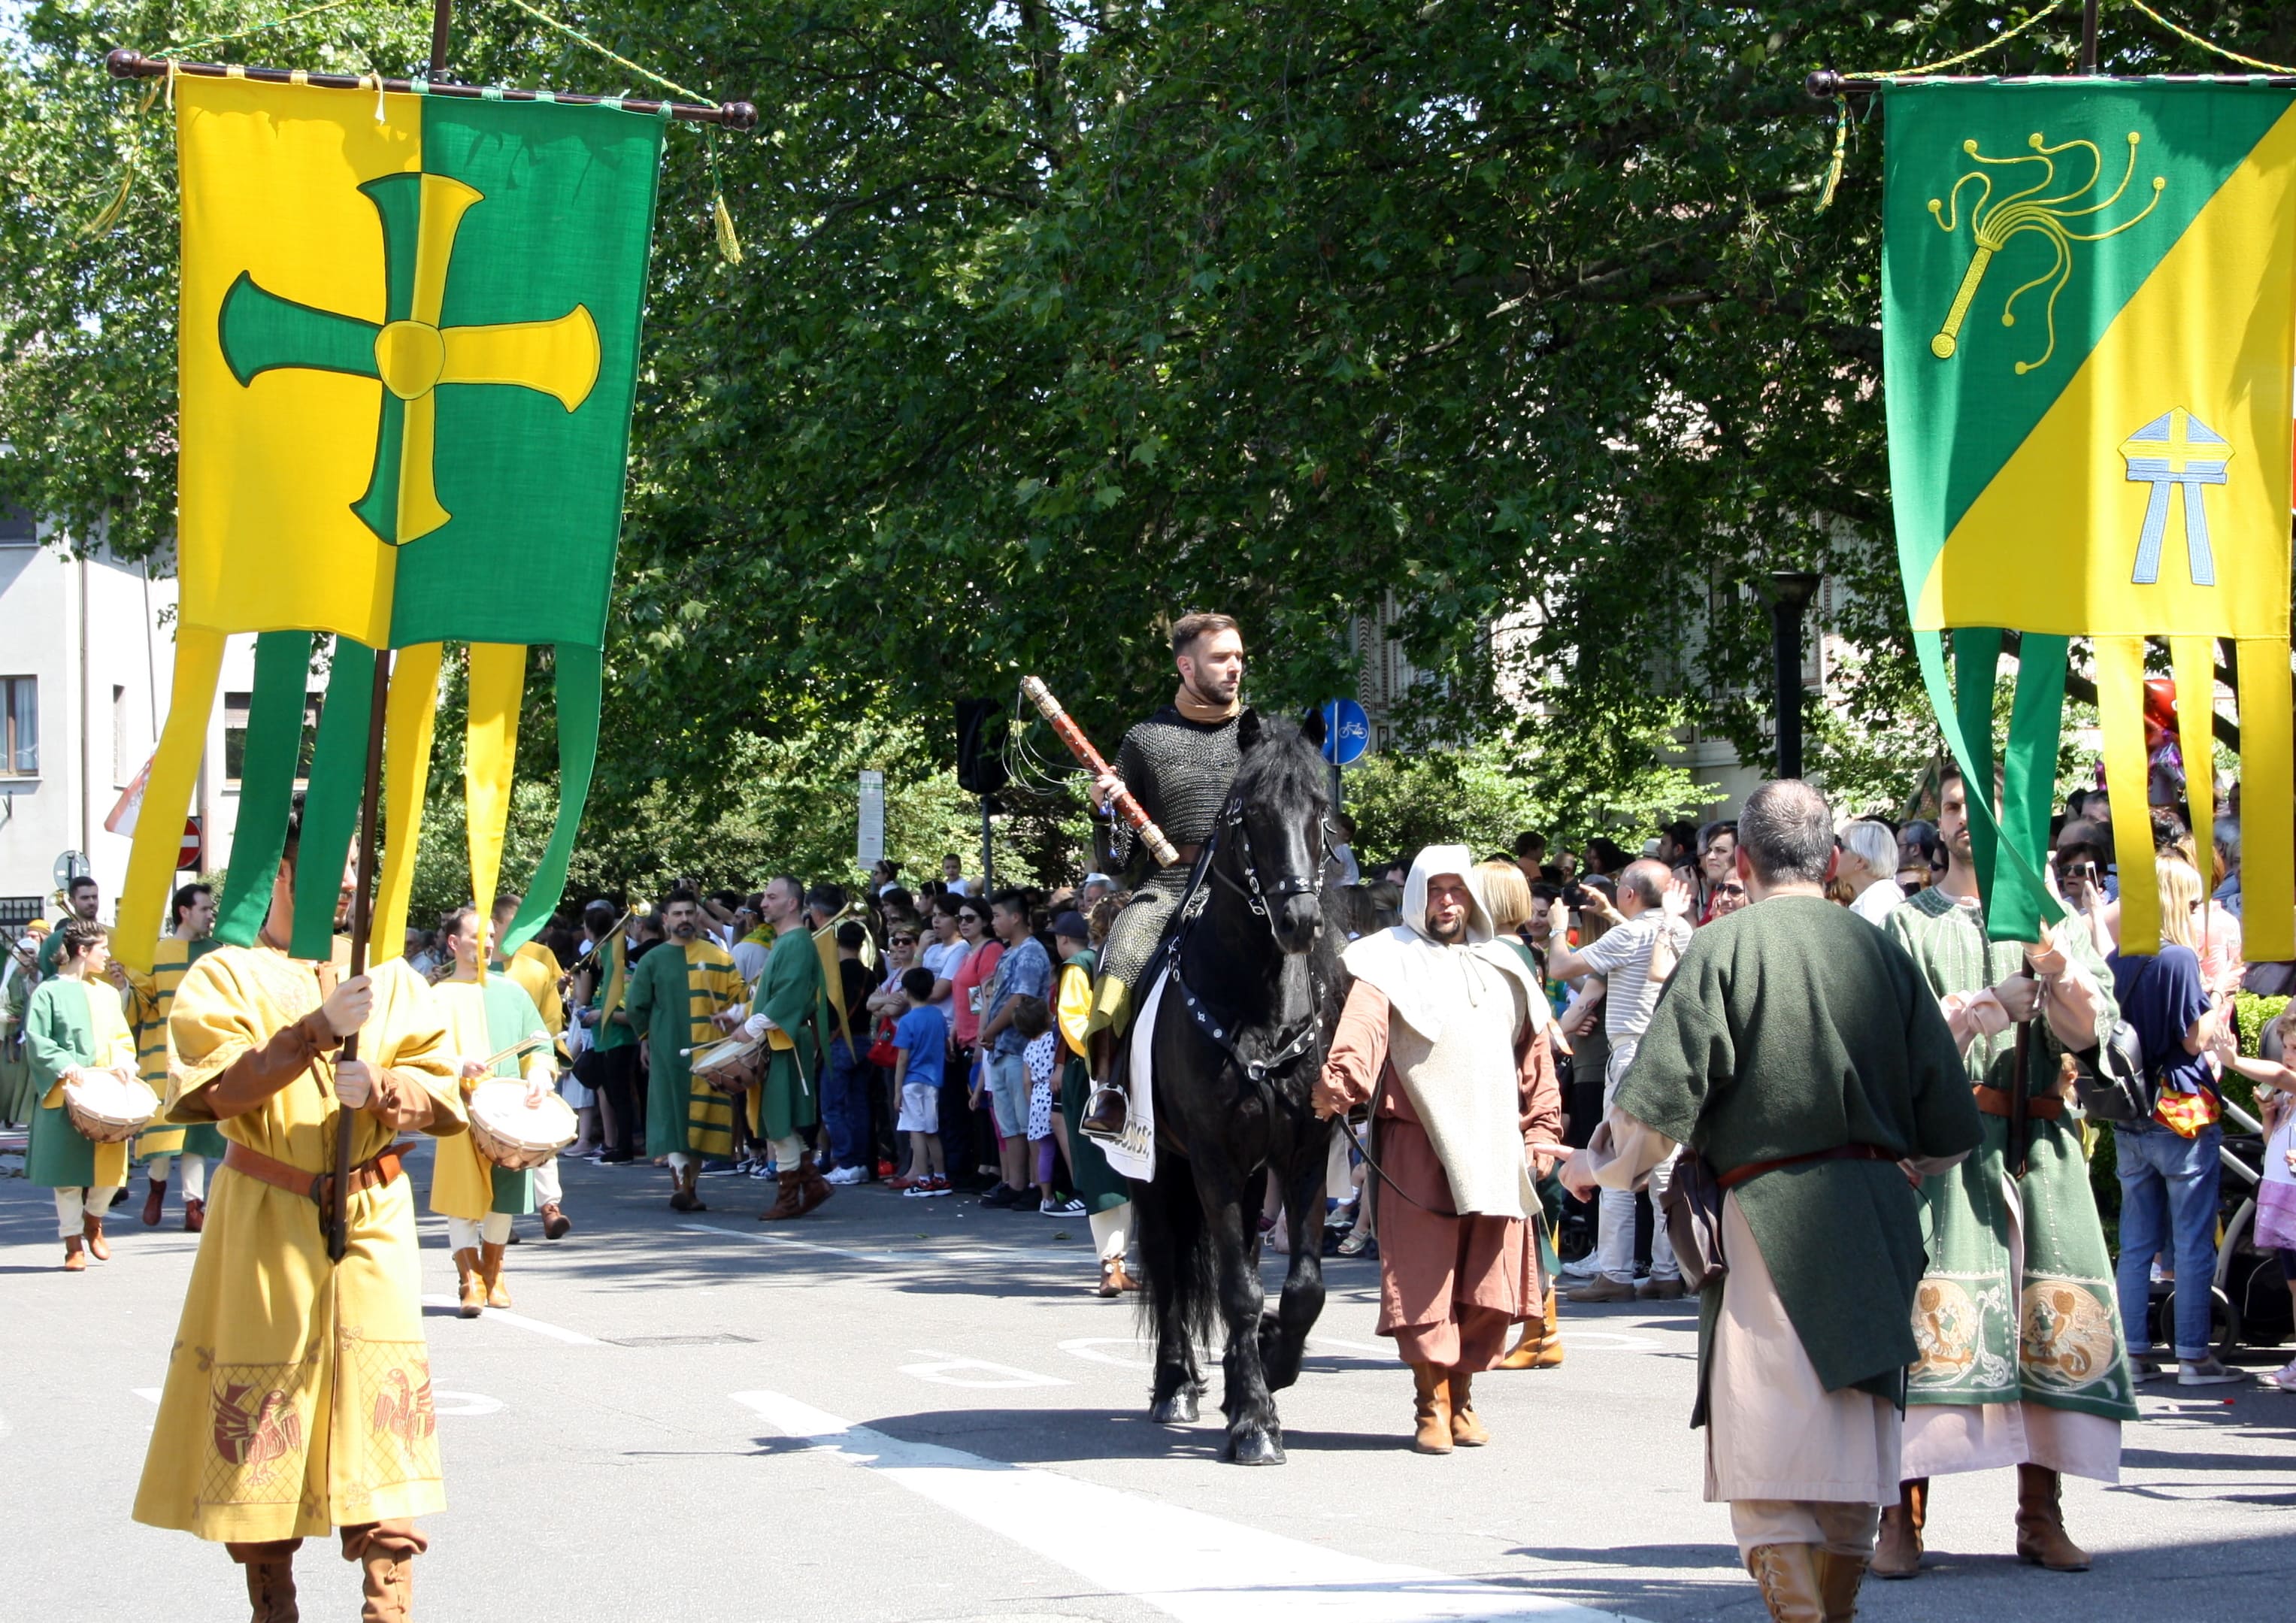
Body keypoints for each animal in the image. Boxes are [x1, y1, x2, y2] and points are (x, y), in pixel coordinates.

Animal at [1134, 707, 1340, 1460]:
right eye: (1250, 814)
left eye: (1320, 810)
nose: (1300, 921)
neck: (1258, 1004)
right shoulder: (1212, 1159)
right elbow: (1237, 1289)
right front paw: (1254, 1419)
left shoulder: (1305, 1151)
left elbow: (1302, 1286)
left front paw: (1271, 1367)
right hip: (1154, 1166)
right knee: (1169, 1261)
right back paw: (1175, 1385)